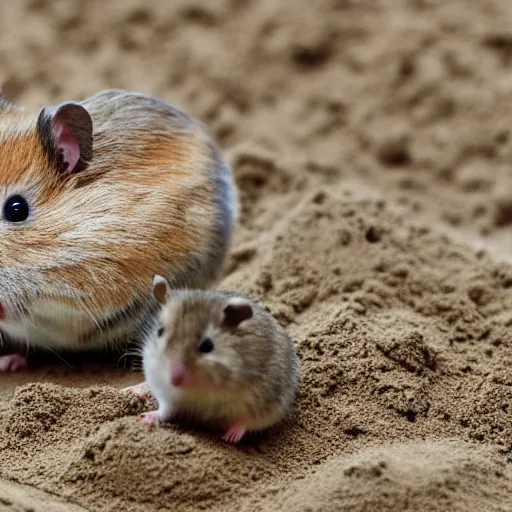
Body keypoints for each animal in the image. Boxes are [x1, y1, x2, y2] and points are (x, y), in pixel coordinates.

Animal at [124, 276, 300, 444]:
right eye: (160, 332)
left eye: (207, 345)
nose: (174, 380)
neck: (201, 388)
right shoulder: (167, 394)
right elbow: (164, 411)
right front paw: (145, 418)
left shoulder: (262, 402)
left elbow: (244, 422)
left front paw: (230, 437)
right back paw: (133, 389)